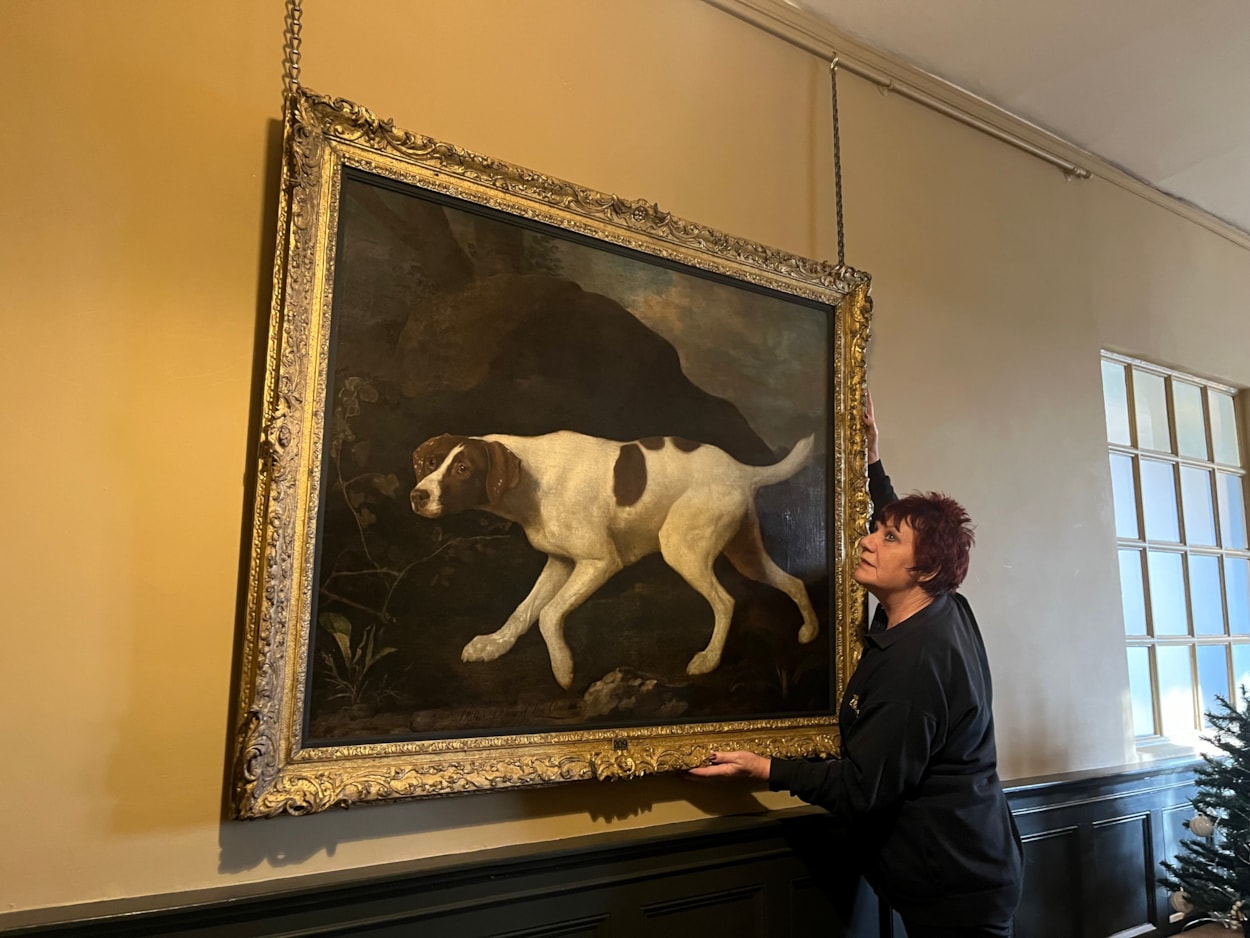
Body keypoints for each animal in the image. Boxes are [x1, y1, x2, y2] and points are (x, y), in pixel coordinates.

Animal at [410, 432, 820, 690]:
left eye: (463, 469)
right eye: (430, 462)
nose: (418, 495)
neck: (532, 478)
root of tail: (742, 470)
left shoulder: (599, 562)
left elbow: (547, 615)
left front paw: (563, 667)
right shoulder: (560, 563)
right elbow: (524, 610)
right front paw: (494, 645)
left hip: (682, 549)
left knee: (725, 601)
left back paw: (708, 661)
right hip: (745, 553)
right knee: (793, 582)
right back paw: (809, 633)